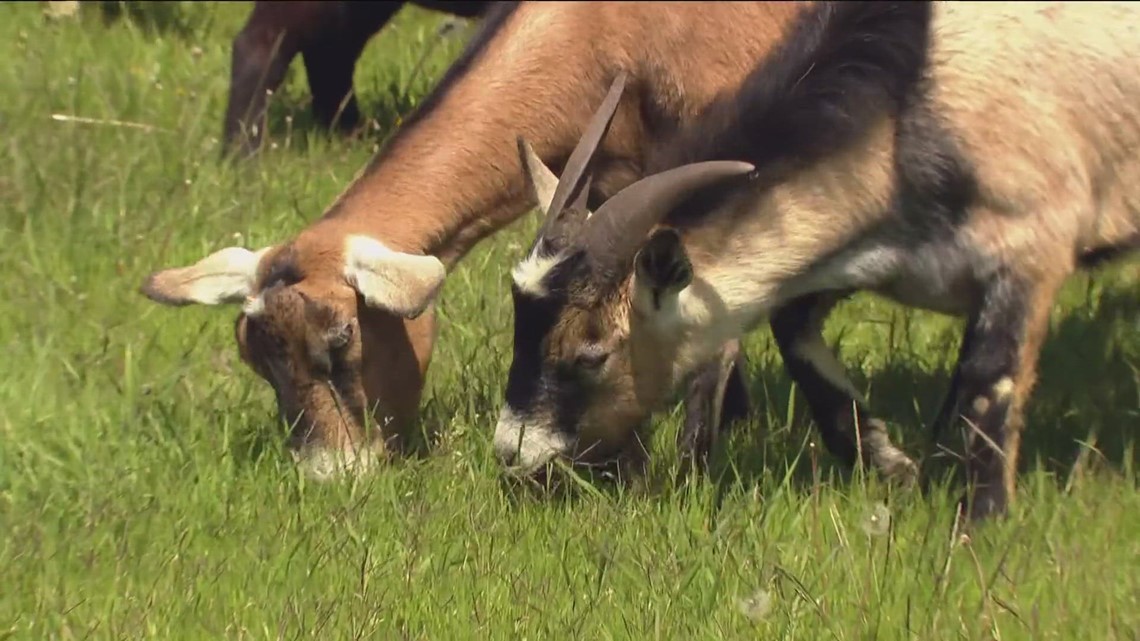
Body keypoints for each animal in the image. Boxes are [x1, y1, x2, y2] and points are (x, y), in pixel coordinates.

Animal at [495, 0, 1140, 523]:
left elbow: (990, 380)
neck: (909, 104)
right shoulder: (868, 254)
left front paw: (980, 525)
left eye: (592, 353)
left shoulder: (1032, 247)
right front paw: (893, 465)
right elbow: (793, 331)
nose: (511, 450)